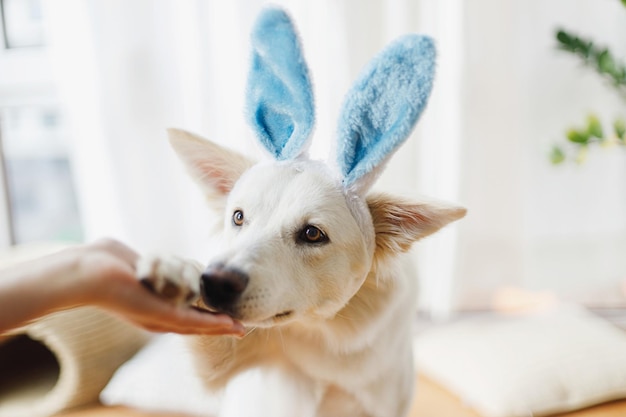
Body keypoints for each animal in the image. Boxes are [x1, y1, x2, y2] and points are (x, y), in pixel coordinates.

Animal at [139, 6, 466, 416]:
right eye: (238, 217)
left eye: (312, 234)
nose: (214, 282)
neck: (320, 332)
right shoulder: (219, 363)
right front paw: (173, 270)